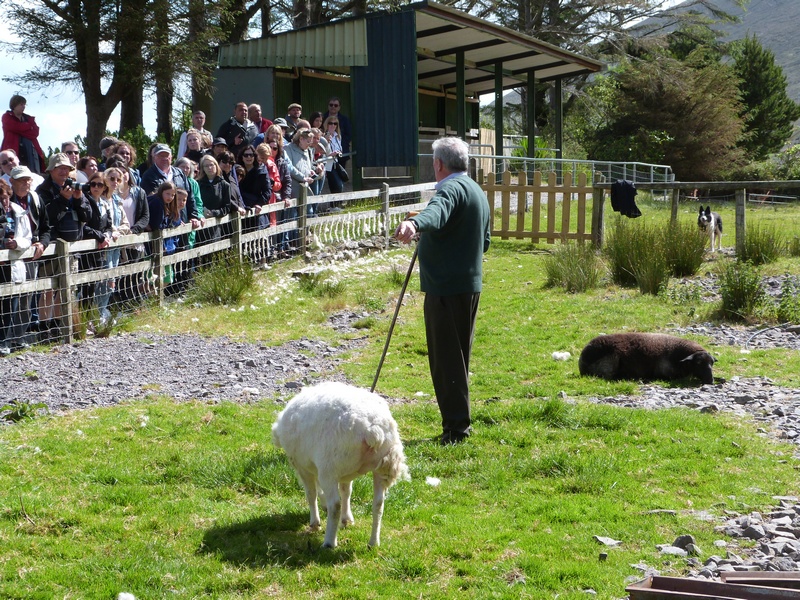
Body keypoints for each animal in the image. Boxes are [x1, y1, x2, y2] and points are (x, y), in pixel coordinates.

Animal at [272, 382, 410, 548]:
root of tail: (373, 429)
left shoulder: (302, 467)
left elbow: (311, 494)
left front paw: (315, 522)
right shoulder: (345, 473)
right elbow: (346, 492)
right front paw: (346, 519)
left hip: (329, 468)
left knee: (335, 505)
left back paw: (329, 542)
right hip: (382, 467)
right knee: (378, 504)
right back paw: (373, 542)